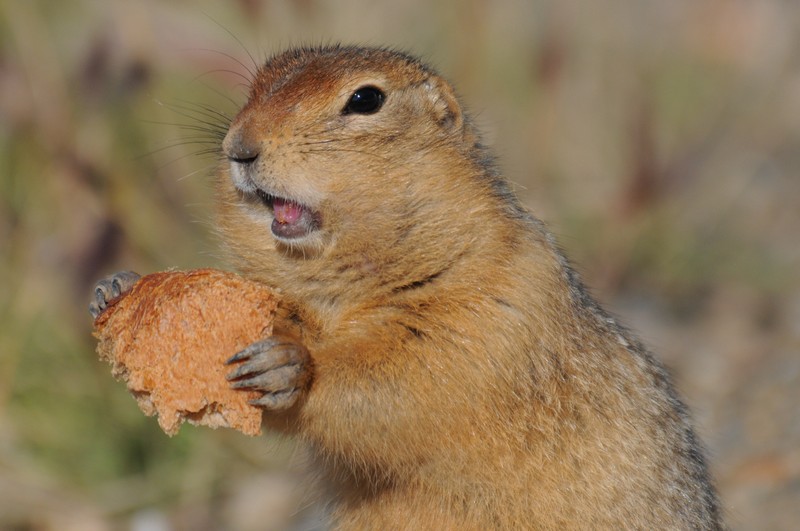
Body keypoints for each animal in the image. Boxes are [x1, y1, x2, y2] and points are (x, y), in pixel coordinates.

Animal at [94, 46, 724, 531]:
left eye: (366, 99)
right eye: (258, 82)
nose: (238, 146)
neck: (343, 288)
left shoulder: (495, 306)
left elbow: (403, 380)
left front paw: (290, 367)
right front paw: (117, 288)